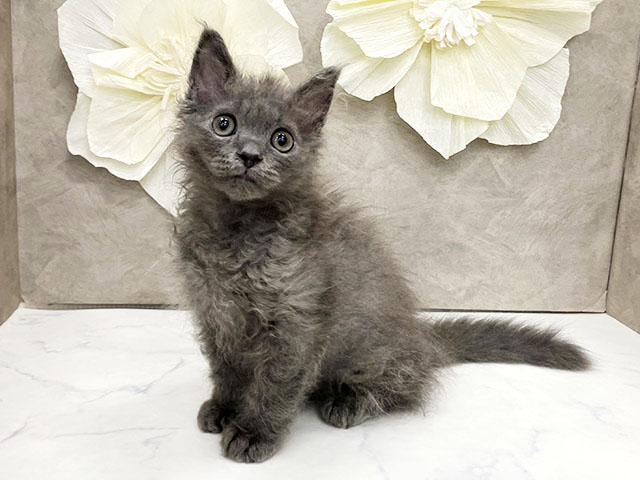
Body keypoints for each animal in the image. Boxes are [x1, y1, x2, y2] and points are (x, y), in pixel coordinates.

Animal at [173, 28, 589, 464]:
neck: (238, 230)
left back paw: (348, 401)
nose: (250, 155)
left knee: (406, 383)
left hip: (374, 356)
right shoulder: (217, 314)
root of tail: (422, 337)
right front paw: (225, 407)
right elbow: (228, 370)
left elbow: (276, 382)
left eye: (282, 140)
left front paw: (254, 431)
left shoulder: (297, 322)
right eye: (224, 124)